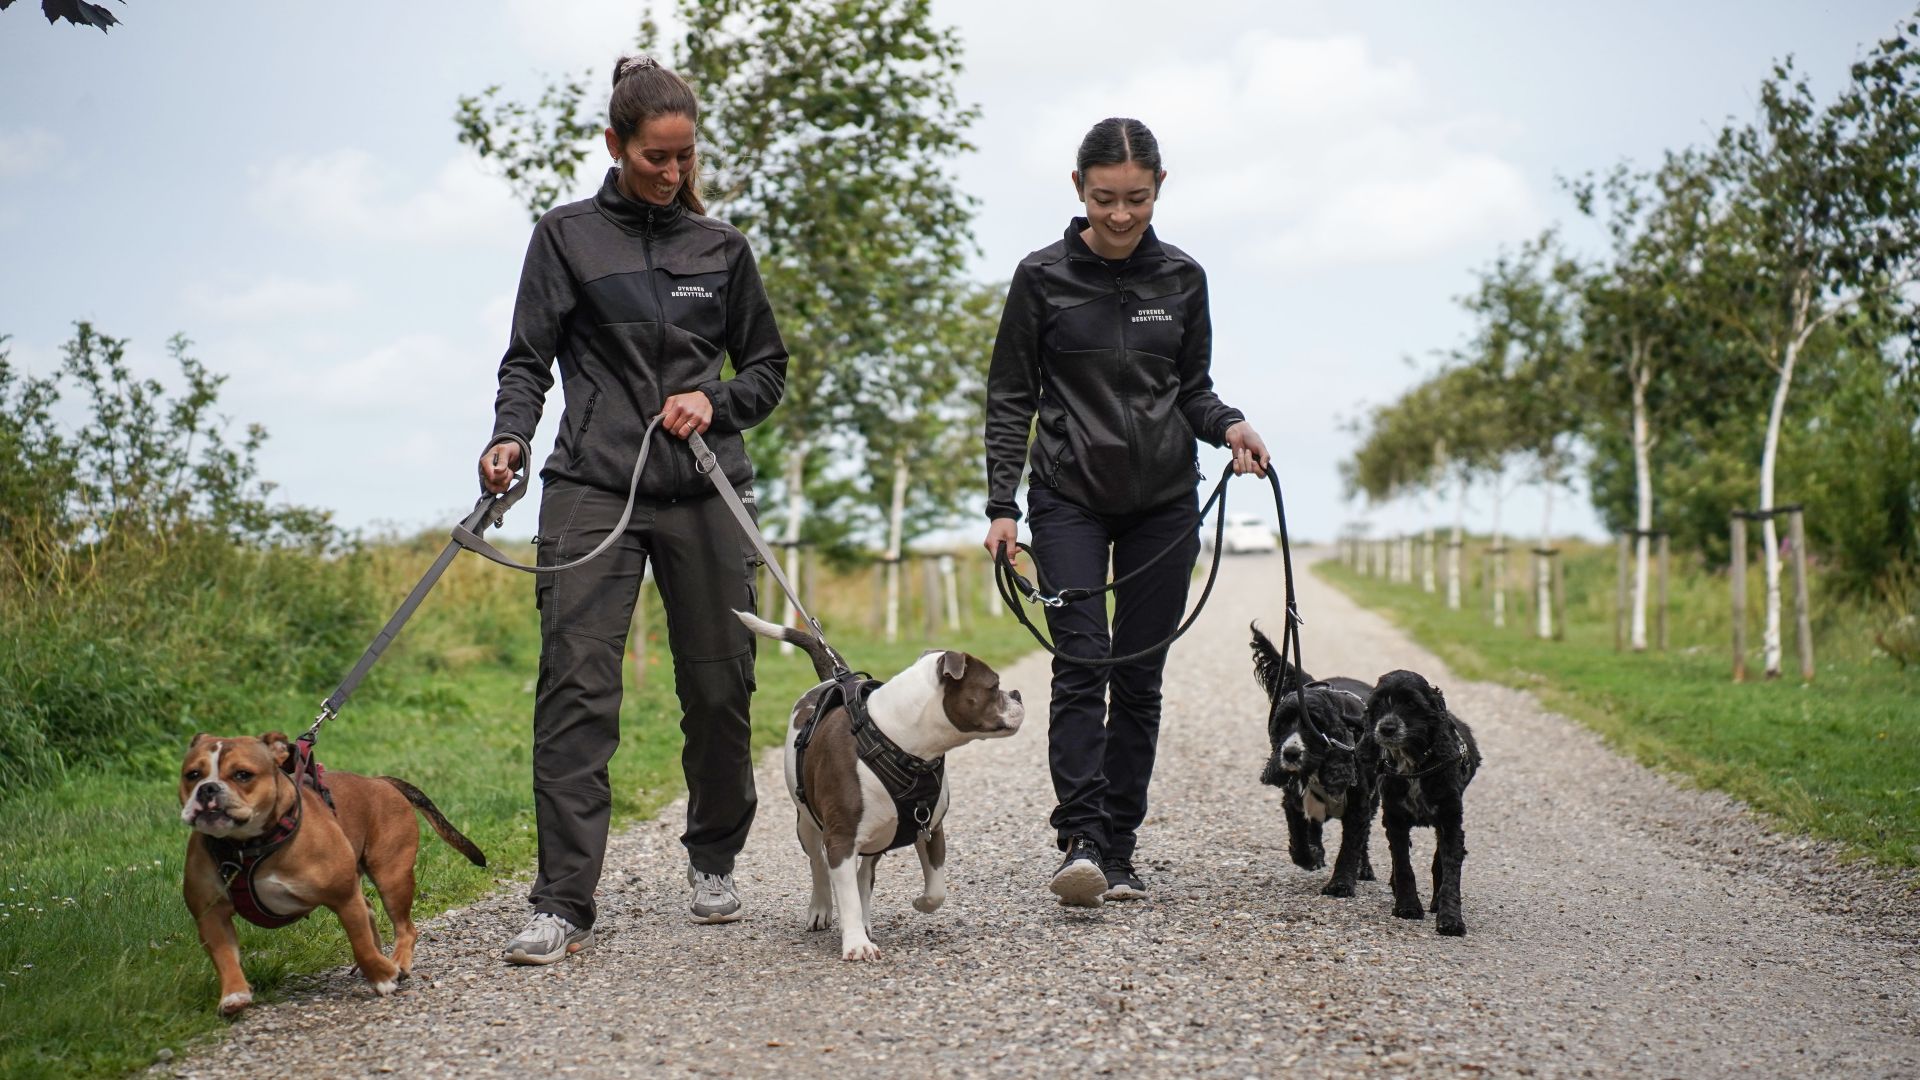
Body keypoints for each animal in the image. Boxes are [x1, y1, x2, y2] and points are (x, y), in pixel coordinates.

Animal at [178, 726, 487, 1014]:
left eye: (243, 774)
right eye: (192, 774)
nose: (208, 788)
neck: (249, 847)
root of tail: (379, 782)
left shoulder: (344, 898)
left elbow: (360, 944)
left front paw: (383, 978)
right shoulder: (211, 915)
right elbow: (224, 957)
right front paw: (234, 995)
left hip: (392, 877)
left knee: (405, 928)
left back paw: (397, 963)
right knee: (372, 911)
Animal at [733, 607, 1021, 957]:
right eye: (994, 685)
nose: (1017, 694)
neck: (895, 739)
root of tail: (831, 678)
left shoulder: (930, 827)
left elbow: (936, 888)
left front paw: (920, 902)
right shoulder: (840, 839)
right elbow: (844, 892)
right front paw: (857, 944)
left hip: (880, 832)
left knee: (864, 874)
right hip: (807, 823)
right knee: (819, 865)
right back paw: (821, 909)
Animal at [1244, 618, 1382, 895]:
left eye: (1315, 725)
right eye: (1282, 724)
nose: (1290, 753)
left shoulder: (1360, 805)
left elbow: (1352, 845)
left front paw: (1340, 884)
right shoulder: (1293, 799)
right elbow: (1299, 838)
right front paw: (1311, 857)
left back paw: (1364, 869)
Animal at [1367, 668, 1482, 930]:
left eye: (1411, 704)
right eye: (1378, 703)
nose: (1387, 728)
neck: (1413, 764)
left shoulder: (1451, 820)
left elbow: (1450, 869)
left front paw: (1450, 919)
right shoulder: (1395, 819)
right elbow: (1402, 864)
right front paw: (1407, 906)